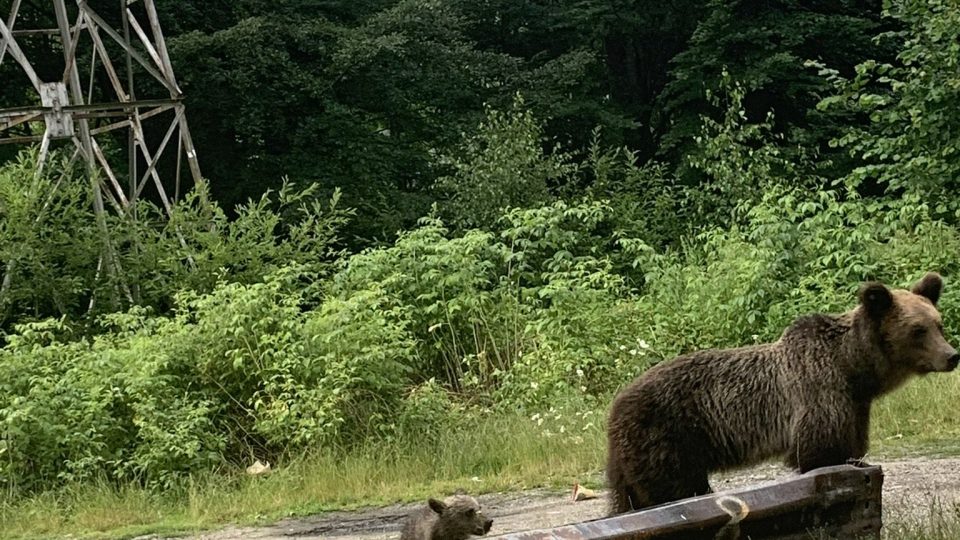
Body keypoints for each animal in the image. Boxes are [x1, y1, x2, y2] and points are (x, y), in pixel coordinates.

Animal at [604, 274, 956, 516]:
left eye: (938, 324)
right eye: (918, 330)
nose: (952, 356)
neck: (852, 368)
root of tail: (614, 406)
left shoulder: (856, 408)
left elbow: (851, 450)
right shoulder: (820, 395)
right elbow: (819, 452)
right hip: (666, 436)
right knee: (673, 489)